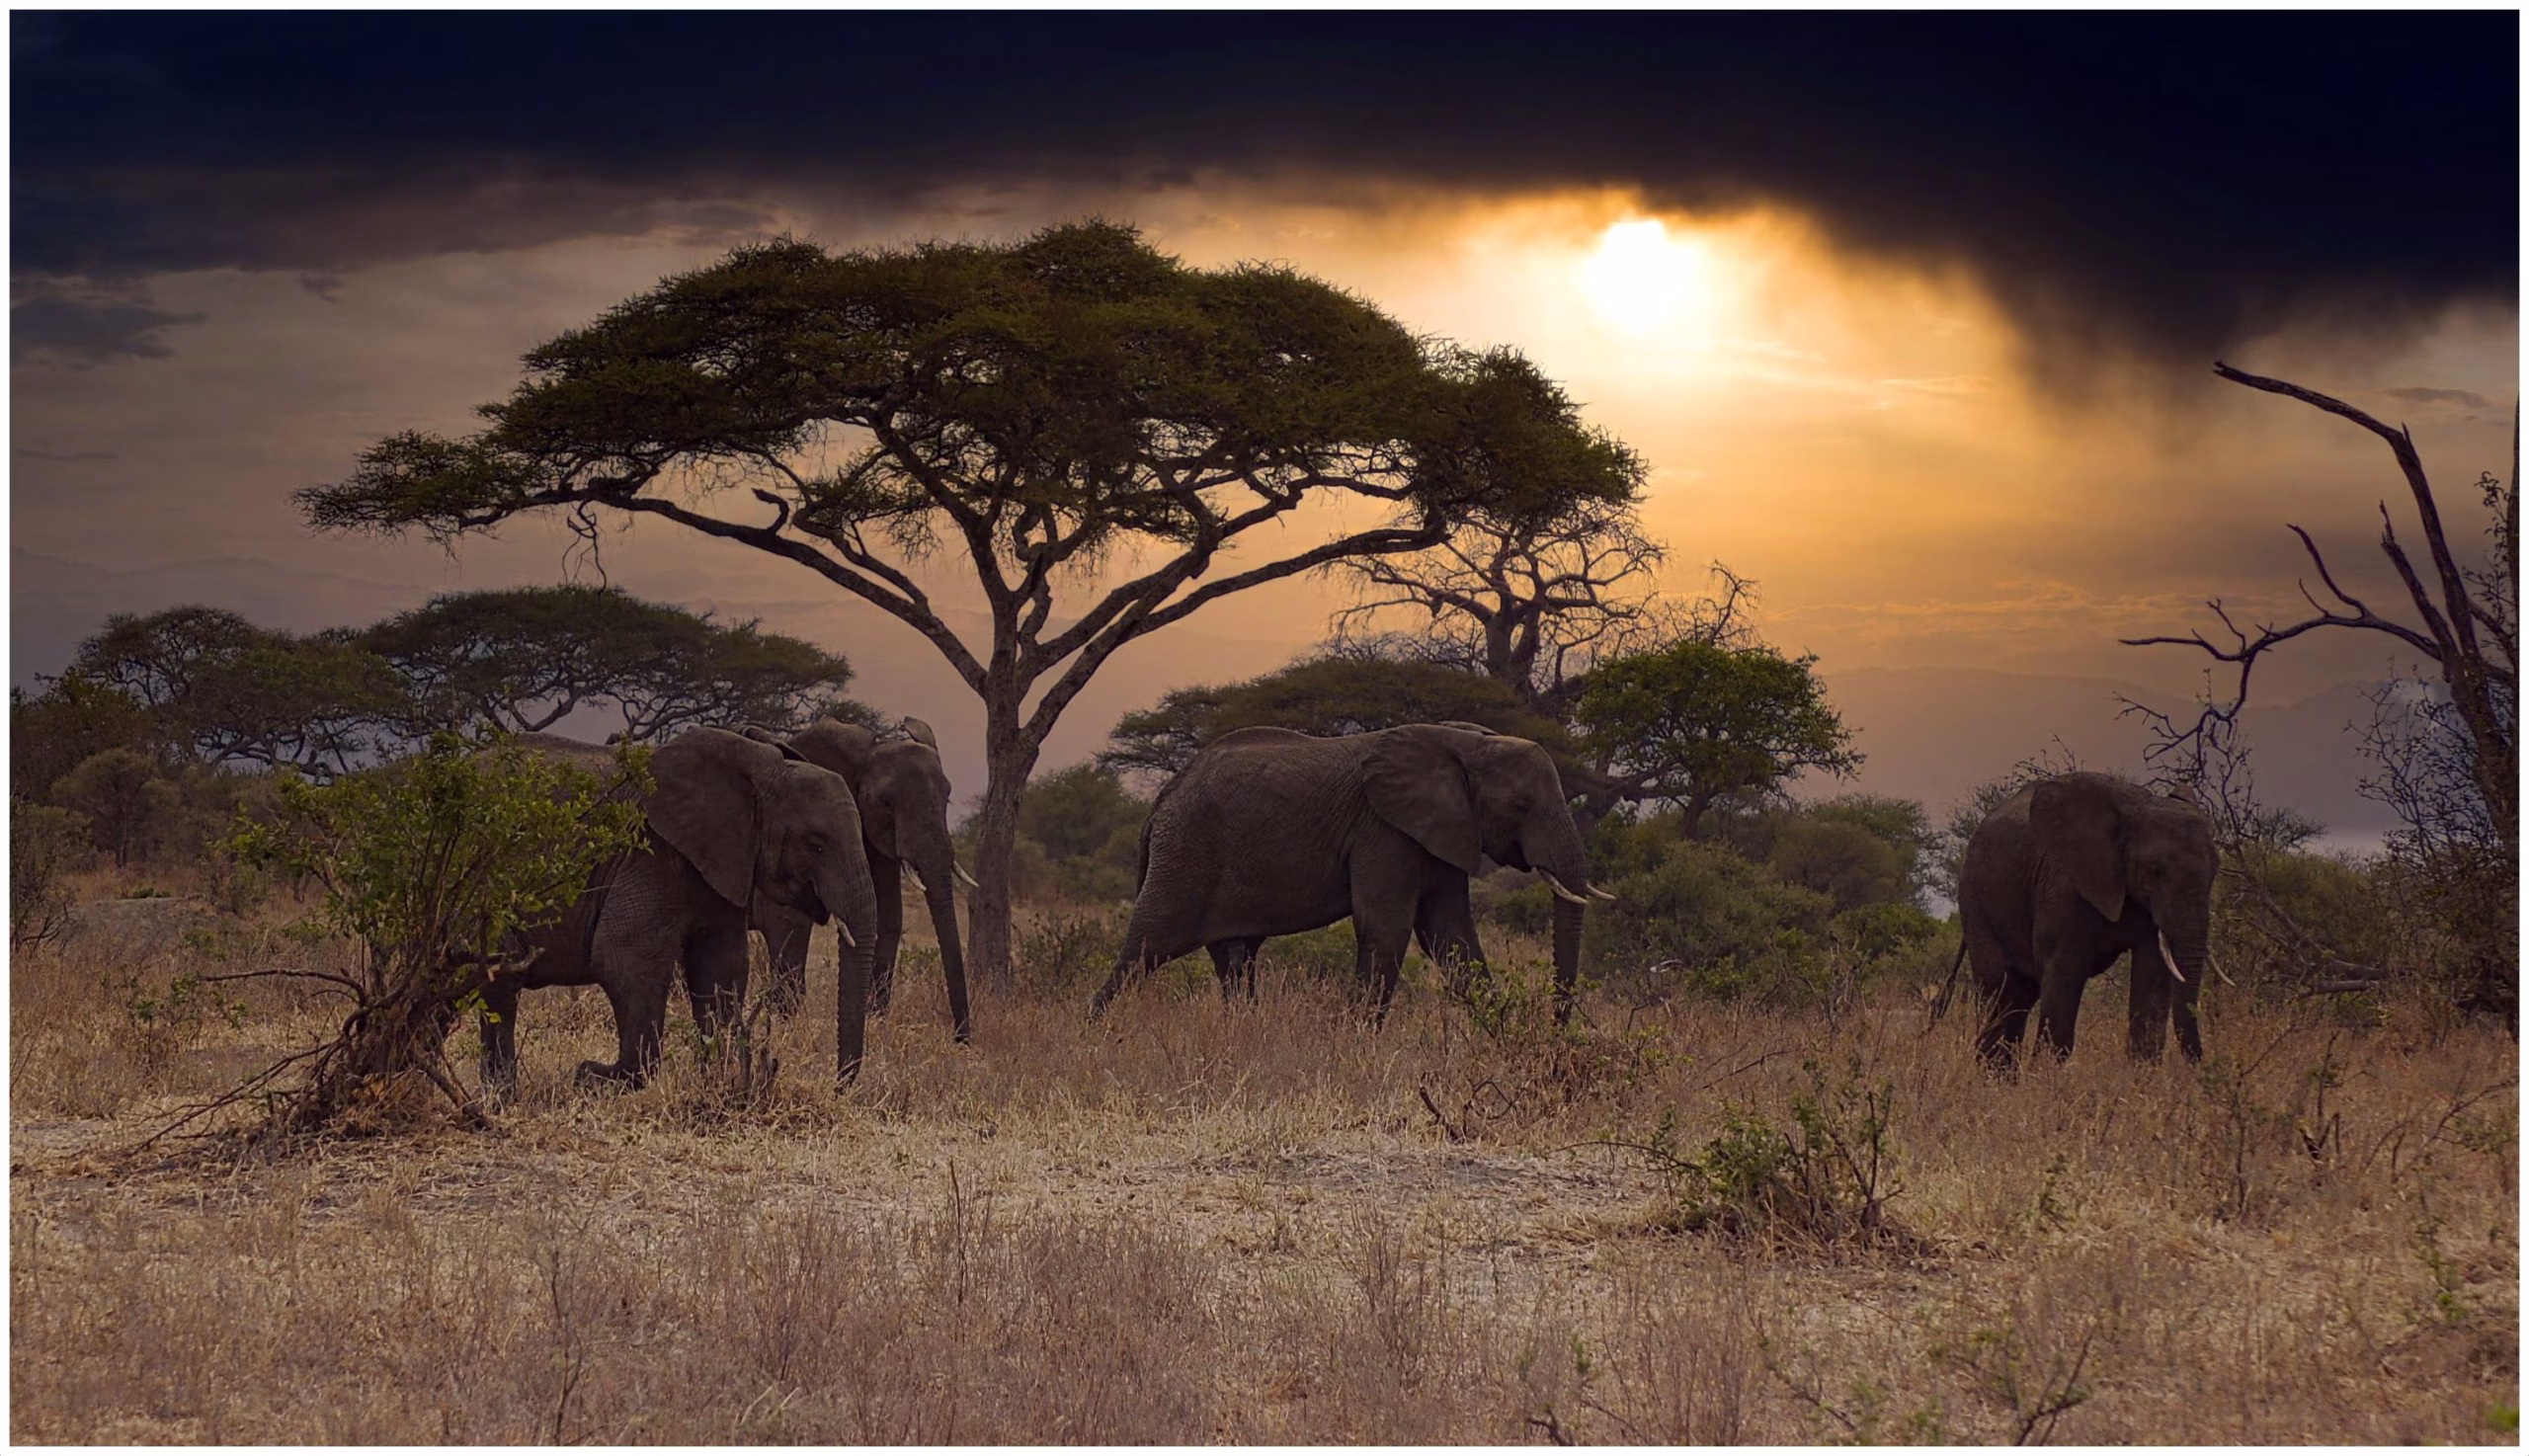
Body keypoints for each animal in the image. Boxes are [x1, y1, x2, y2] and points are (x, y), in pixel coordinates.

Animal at [480, 728, 882, 1093]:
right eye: (815, 845)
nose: (838, 1086)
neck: (761, 770)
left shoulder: (722, 862)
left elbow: (722, 967)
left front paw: (718, 1079)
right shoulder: (649, 853)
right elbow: (624, 961)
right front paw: (591, 1075)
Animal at [741, 717, 974, 1043]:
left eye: (948, 798)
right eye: (886, 803)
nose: (961, 1039)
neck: (868, 749)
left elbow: (889, 918)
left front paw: (876, 1021)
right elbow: (787, 921)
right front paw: (787, 1030)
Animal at [1087, 722, 1610, 1022]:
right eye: (1521, 805)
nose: (1554, 1026)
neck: (1467, 744)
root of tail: (1161, 801)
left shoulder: (1441, 828)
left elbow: (1450, 934)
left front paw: (1503, 1035)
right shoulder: (1384, 827)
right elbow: (1387, 927)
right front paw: (1359, 1041)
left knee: (1234, 960)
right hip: (1186, 853)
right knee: (1146, 948)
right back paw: (1095, 1032)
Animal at [1951, 771, 2216, 1068]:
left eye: (2215, 870)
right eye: (2154, 869)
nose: (2198, 1065)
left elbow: (2152, 974)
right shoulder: (2063, 883)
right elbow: (2065, 968)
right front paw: (2045, 1075)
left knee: (2019, 997)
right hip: (1975, 899)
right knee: (1998, 989)